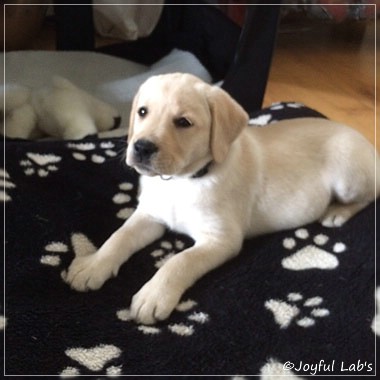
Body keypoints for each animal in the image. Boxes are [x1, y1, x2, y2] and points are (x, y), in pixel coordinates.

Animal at [66, 73, 380, 324]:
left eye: (183, 122)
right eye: (142, 112)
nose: (141, 147)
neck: (181, 182)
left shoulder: (221, 239)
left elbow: (179, 261)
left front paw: (153, 295)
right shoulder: (150, 215)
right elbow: (119, 237)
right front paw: (93, 265)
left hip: (347, 175)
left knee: (370, 194)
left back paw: (336, 213)